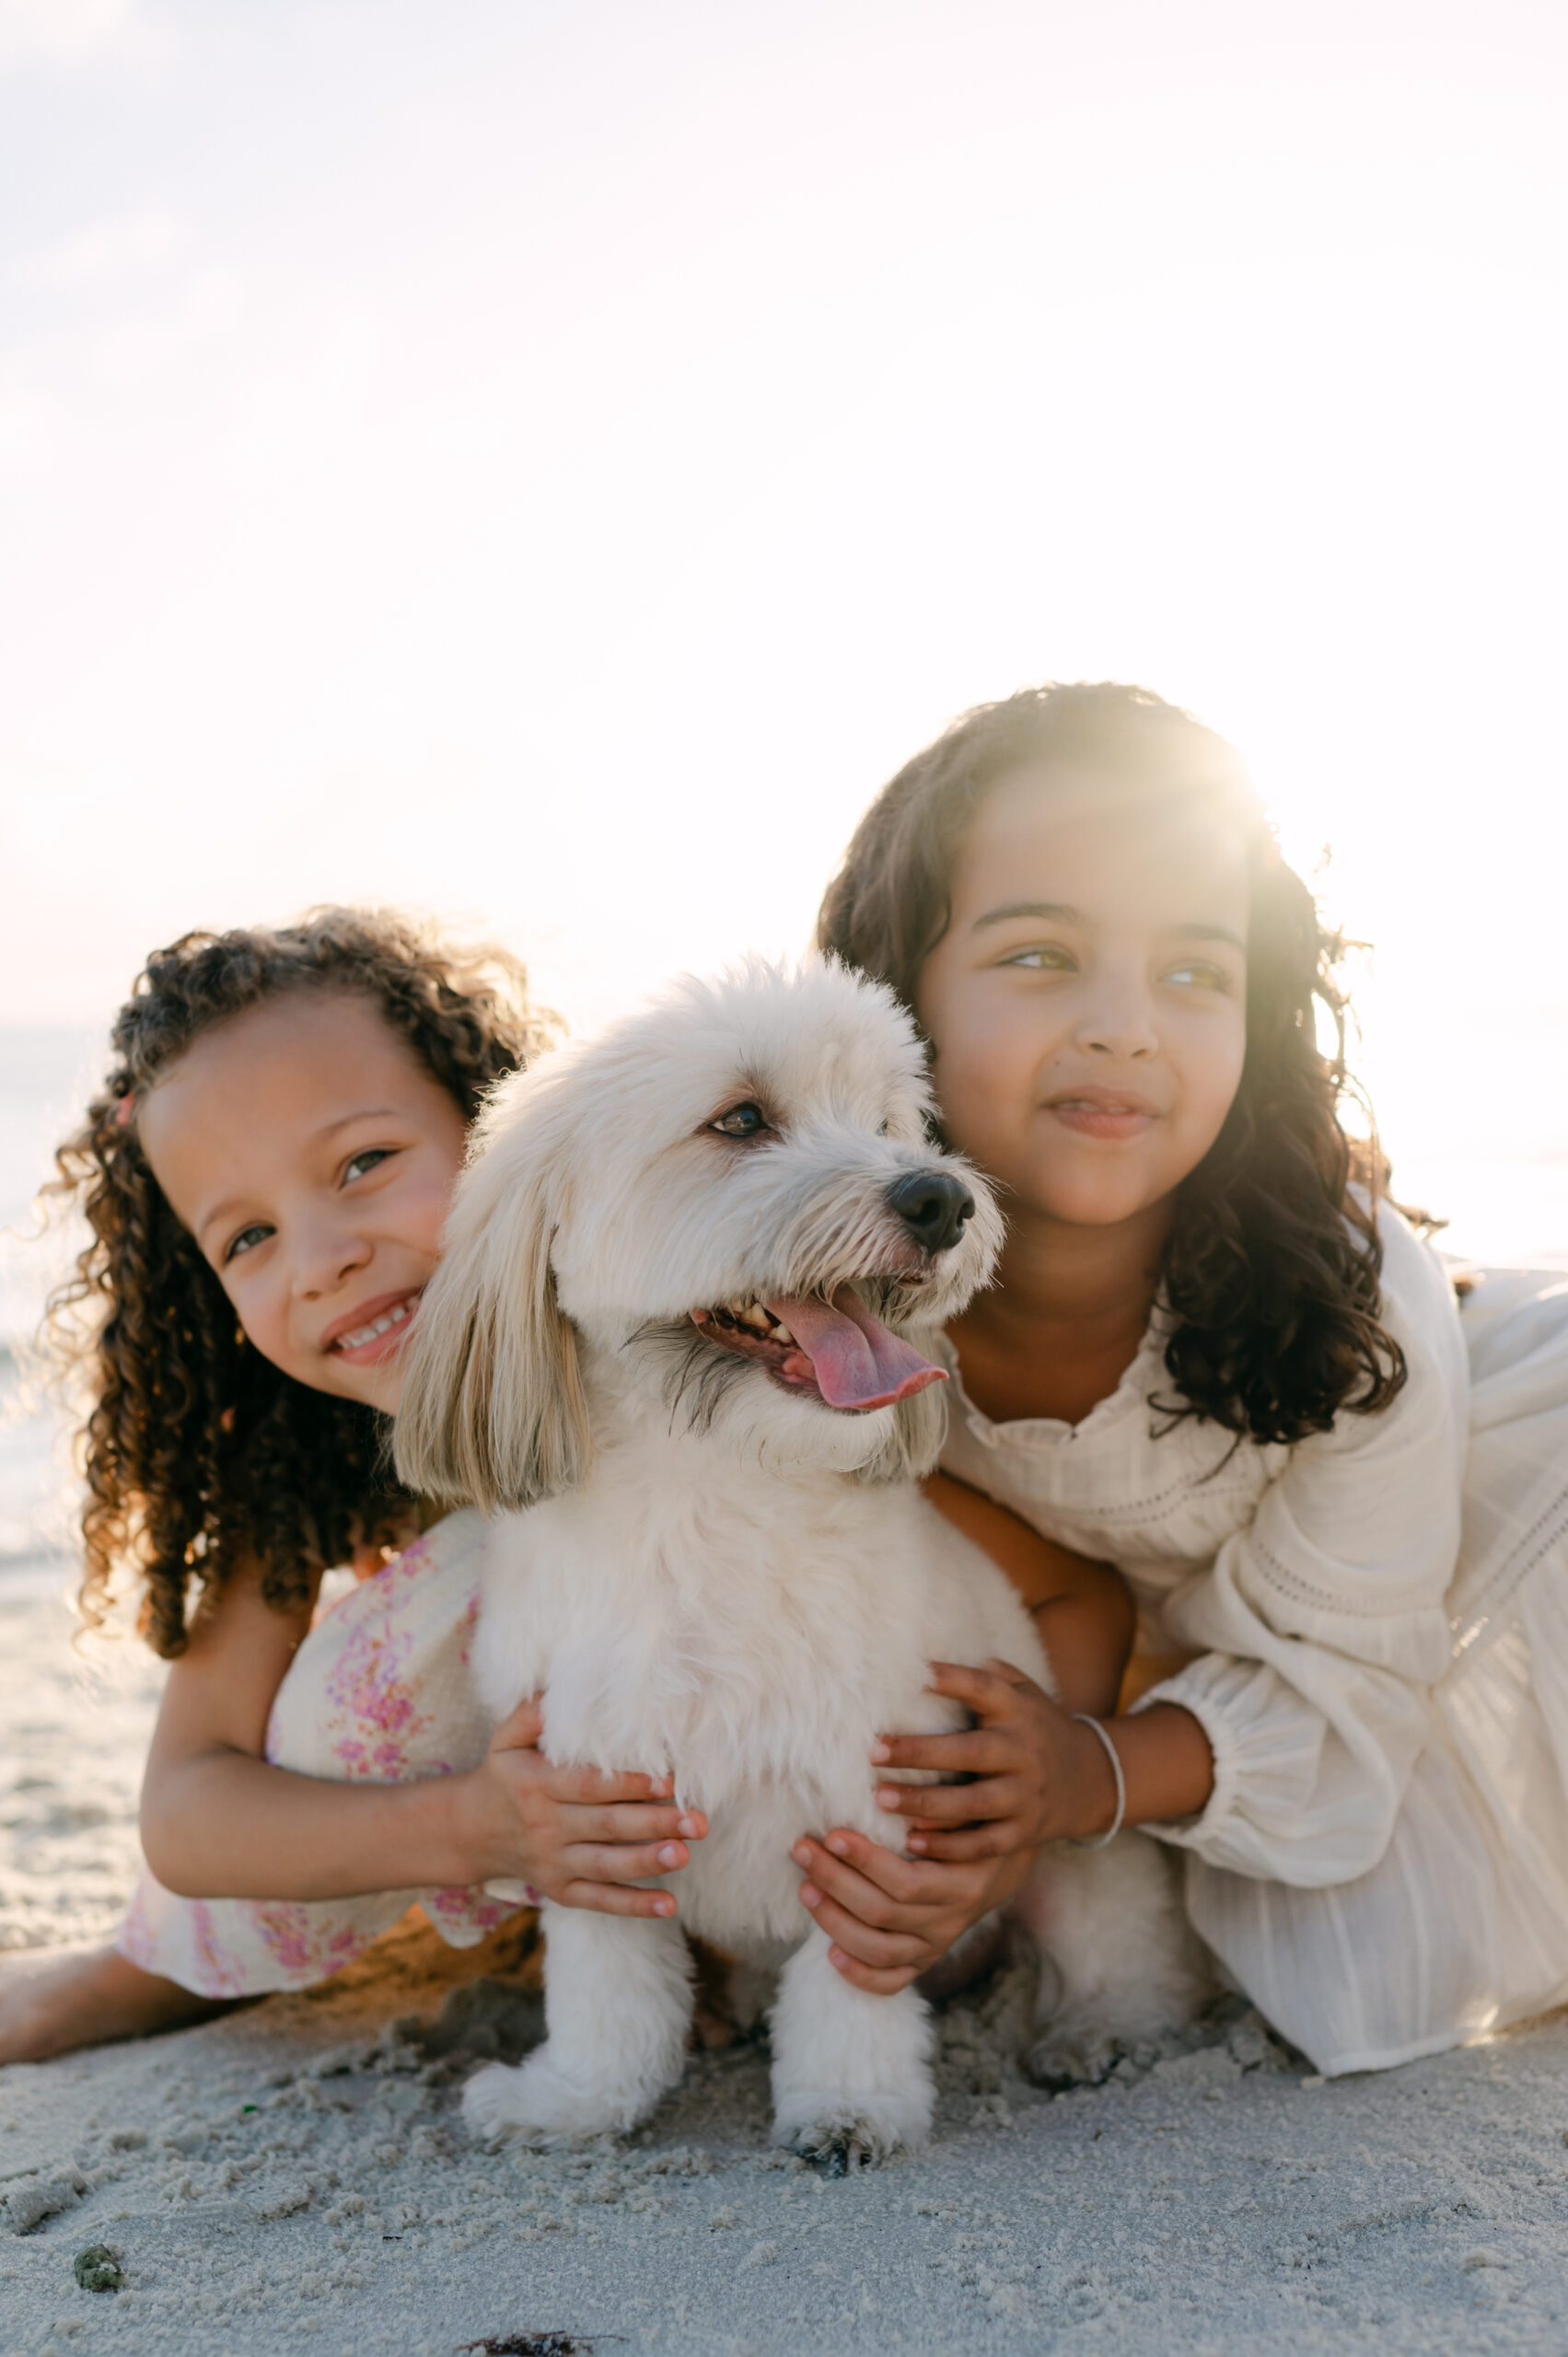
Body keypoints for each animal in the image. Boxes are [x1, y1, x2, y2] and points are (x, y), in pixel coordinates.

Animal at [393, 961, 1197, 2168]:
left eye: (884, 1123)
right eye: (738, 1120)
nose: (938, 1199)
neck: (711, 1495)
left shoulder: (869, 1810)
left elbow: (849, 1986)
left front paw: (848, 2106)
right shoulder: (587, 1802)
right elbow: (608, 1991)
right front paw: (578, 2101)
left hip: (1076, 1859)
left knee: (1113, 1957)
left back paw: (1088, 2031)